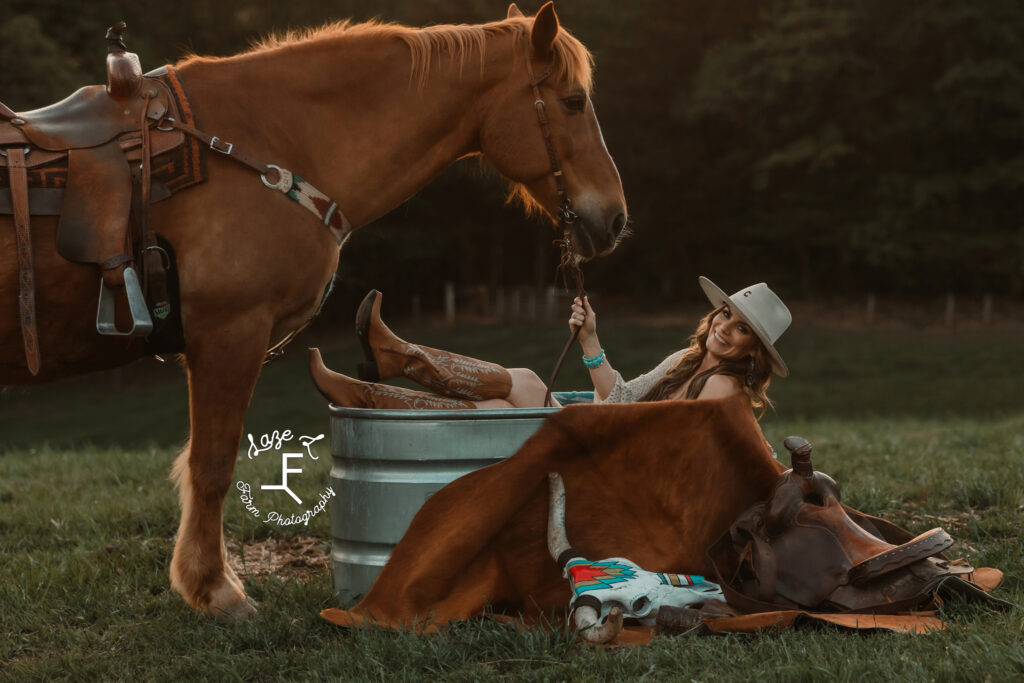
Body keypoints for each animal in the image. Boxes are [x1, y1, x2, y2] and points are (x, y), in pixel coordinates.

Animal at [0, 2, 626, 618]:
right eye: (573, 101)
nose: (616, 218)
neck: (265, 149)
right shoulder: (228, 334)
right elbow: (211, 465)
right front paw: (216, 590)